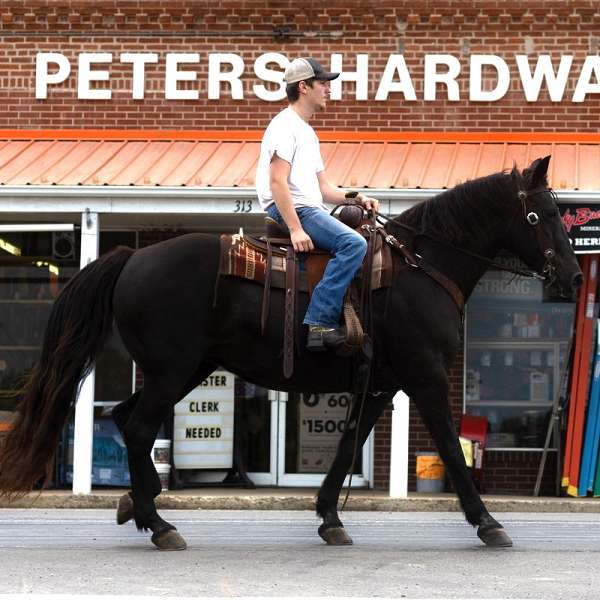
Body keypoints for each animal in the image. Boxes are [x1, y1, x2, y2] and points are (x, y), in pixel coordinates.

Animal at [0, 155, 580, 548]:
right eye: (540, 215)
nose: (574, 278)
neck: (421, 266)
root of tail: (131, 257)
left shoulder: (382, 383)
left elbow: (348, 445)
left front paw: (329, 517)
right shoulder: (426, 377)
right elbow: (452, 451)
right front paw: (488, 522)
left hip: (185, 369)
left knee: (124, 419)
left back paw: (137, 509)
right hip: (173, 370)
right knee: (140, 427)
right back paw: (160, 525)